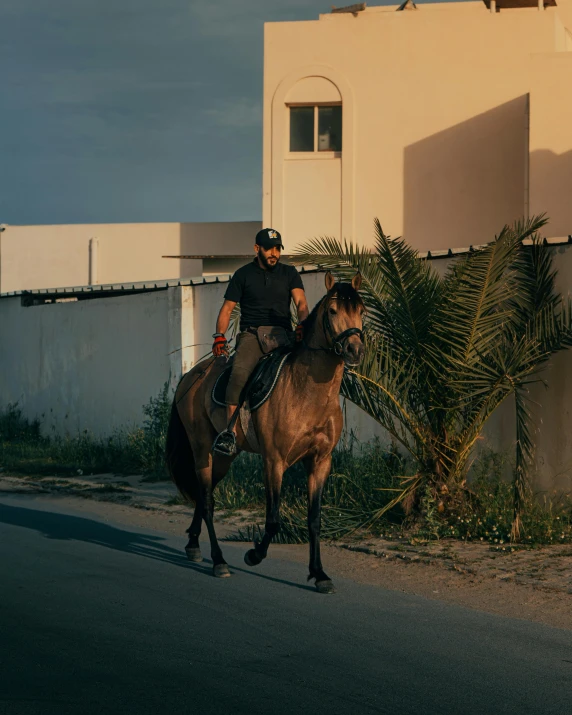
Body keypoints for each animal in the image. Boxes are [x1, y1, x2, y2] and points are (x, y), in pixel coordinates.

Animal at [165, 272, 364, 596]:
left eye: (361, 310)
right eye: (333, 311)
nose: (354, 350)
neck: (307, 392)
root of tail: (191, 375)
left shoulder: (320, 462)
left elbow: (315, 519)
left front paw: (319, 574)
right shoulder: (274, 461)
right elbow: (272, 520)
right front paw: (254, 555)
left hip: (223, 459)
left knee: (203, 496)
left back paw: (194, 545)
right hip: (202, 450)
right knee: (207, 502)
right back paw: (219, 561)